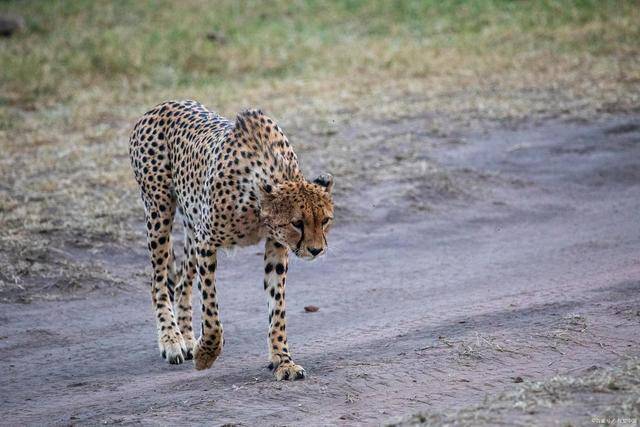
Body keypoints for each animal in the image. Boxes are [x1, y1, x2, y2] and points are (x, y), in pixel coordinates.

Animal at [127, 100, 332, 382]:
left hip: (191, 225)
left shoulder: (276, 247)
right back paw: (171, 340)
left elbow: (277, 308)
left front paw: (283, 361)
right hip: (159, 211)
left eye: (325, 220)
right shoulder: (207, 242)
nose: (316, 250)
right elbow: (211, 309)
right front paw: (206, 353)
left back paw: (187, 337)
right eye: (297, 223)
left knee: (180, 283)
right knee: (158, 282)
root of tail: (161, 105)